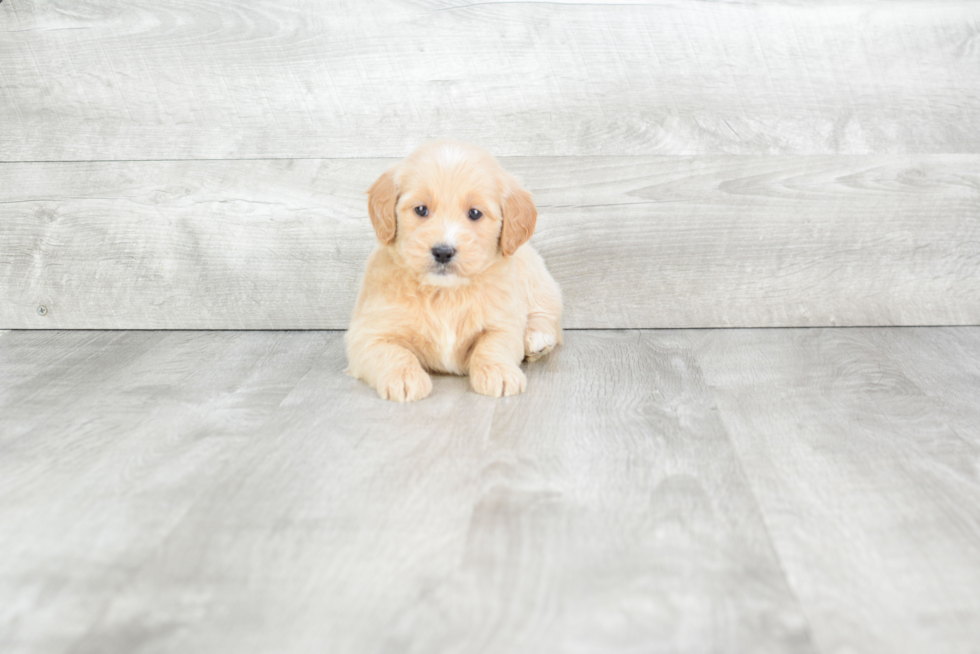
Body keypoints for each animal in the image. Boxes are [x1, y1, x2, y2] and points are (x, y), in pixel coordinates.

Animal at [346, 141, 564, 402]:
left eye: (475, 213)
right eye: (421, 209)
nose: (443, 252)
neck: (445, 293)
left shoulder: (504, 321)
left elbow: (493, 345)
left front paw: (499, 372)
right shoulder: (367, 334)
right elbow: (392, 352)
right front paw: (404, 377)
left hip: (534, 274)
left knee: (547, 313)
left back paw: (536, 337)